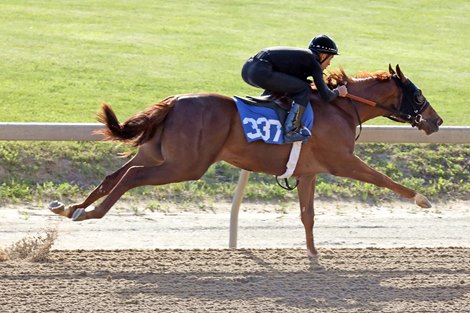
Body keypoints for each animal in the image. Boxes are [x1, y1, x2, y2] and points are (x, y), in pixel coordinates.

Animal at [49, 64, 442, 256]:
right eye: (418, 94)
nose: (437, 121)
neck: (341, 108)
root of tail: (174, 101)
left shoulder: (309, 172)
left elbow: (308, 215)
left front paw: (314, 255)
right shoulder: (342, 161)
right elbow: (383, 179)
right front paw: (423, 200)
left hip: (155, 152)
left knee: (114, 176)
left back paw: (70, 207)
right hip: (186, 165)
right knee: (131, 179)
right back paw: (89, 213)